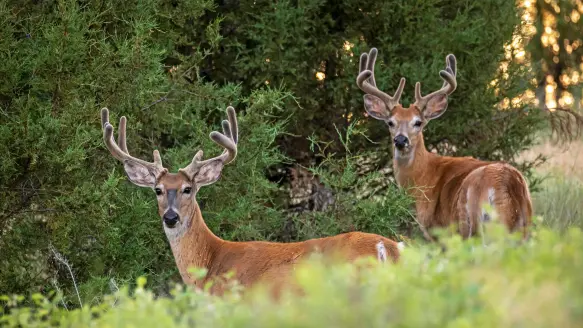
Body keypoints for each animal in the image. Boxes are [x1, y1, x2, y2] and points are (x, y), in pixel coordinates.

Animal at [356, 48, 532, 243]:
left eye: (418, 122)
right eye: (390, 122)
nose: (401, 140)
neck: (423, 177)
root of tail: (505, 183)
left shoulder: (439, 232)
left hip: (470, 223)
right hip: (524, 227)